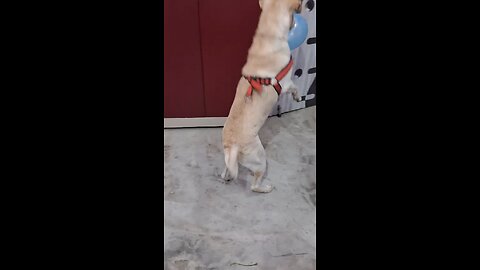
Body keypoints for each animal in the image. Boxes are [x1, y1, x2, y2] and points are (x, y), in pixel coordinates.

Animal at [220, 0, 300, 194]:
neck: (267, 36)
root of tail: (231, 146)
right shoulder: (286, 83)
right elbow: (295, 87)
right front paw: (298, 96)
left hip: (231, 161)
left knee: (226, 171)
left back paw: (227, 176)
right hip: (260, 158)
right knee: (254, 185)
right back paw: (266, 187)